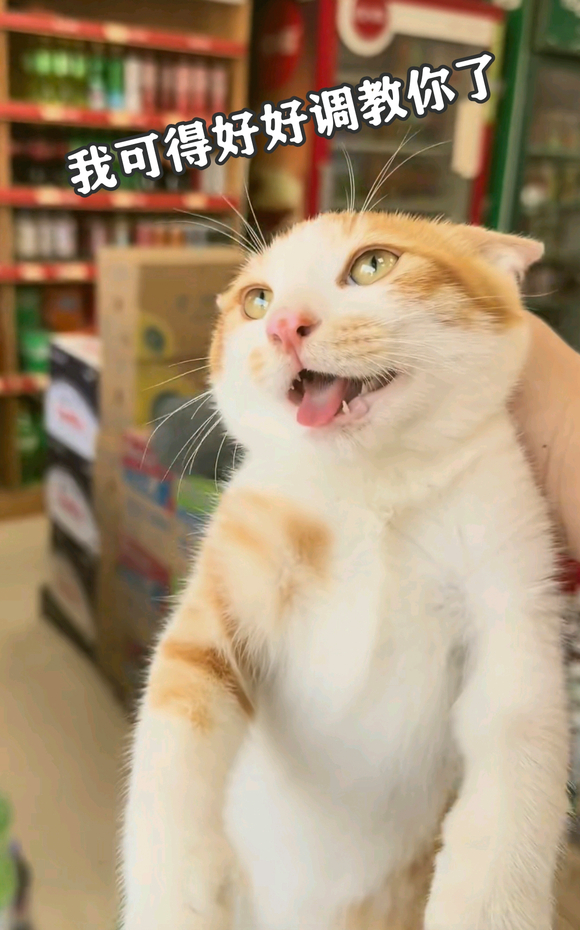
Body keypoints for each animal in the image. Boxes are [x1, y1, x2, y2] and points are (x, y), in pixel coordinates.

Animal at [121, 211, 570, 930]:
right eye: (257, 301)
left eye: (372, 265)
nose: (284, 325)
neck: (374, 487)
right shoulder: (230, 579)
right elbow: (174, 725)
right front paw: (173, 891)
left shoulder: (513, 592)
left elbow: (520, 743)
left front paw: (491, 905)